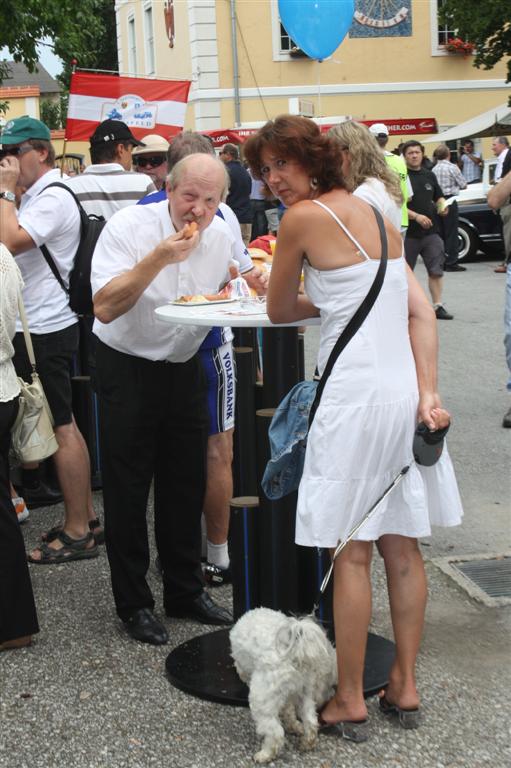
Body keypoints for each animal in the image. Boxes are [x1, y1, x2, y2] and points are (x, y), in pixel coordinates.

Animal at [231, 608, 336, 764]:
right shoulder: (289, 695)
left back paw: (265, 754)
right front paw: (294, 725)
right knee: (311, 721)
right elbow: (289, 711)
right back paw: (307, 742)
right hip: (304, 694)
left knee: (275, 733)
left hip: (261, 699)